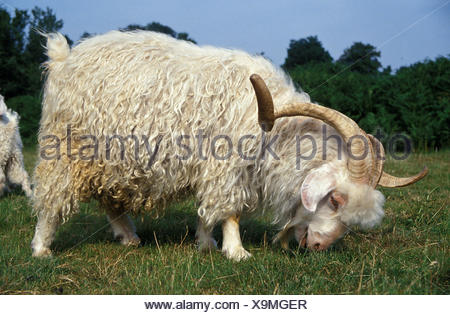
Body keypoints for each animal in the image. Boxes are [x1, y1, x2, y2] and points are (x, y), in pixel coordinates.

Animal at [30, 31, 426, 262]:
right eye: (336, 199)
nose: (318, 247)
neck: (275, 129)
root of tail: (63, 57)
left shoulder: (212, 169)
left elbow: (207, 210)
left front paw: (205, 243)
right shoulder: (227, 165)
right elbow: (229, 210)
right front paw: (236, 252)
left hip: (113, 161)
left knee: (110, 199)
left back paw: (128, 238)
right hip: (66, 148)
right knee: (52, 199)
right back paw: (41, 248)